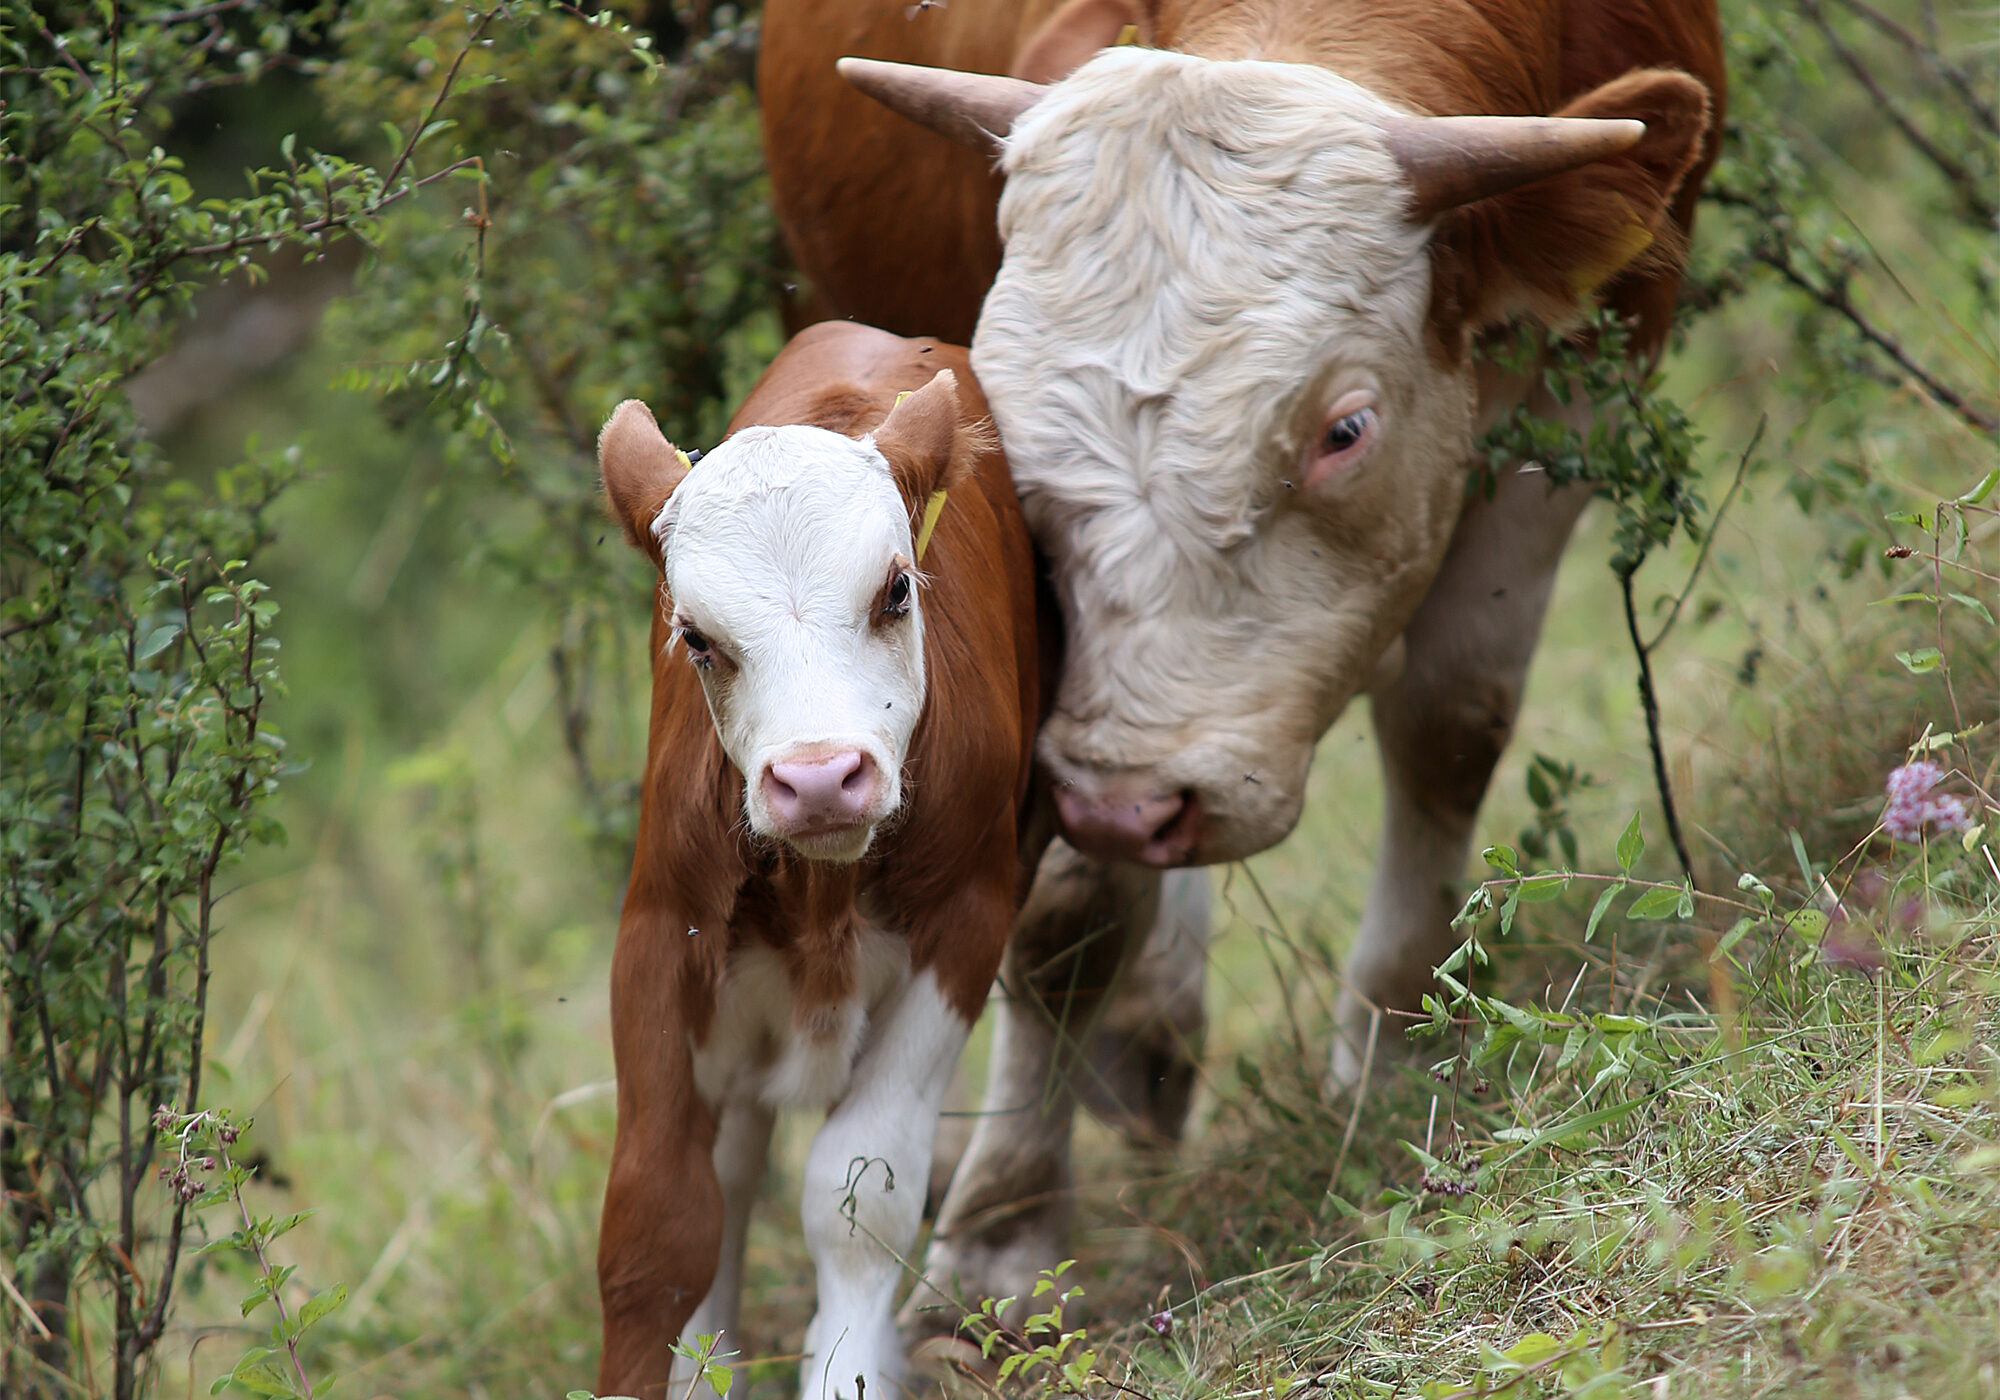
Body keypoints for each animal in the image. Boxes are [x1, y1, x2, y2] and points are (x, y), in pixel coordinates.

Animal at [588, 322, 1048, 1392]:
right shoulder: (659, 935)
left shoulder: (966, 924)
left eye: (894, 590)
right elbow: (659, 1223)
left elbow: (857, 1195)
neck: (820, 889)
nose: (820, 778)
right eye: (695, 637)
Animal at [756, 0, 1728, 1320]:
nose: (1130, 803)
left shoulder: (1584, 395)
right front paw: (1002, 1233)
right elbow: (1070, 902)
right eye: (1008, 442)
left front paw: (1394, 1043)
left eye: (1342, 430)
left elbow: (1449, 719)